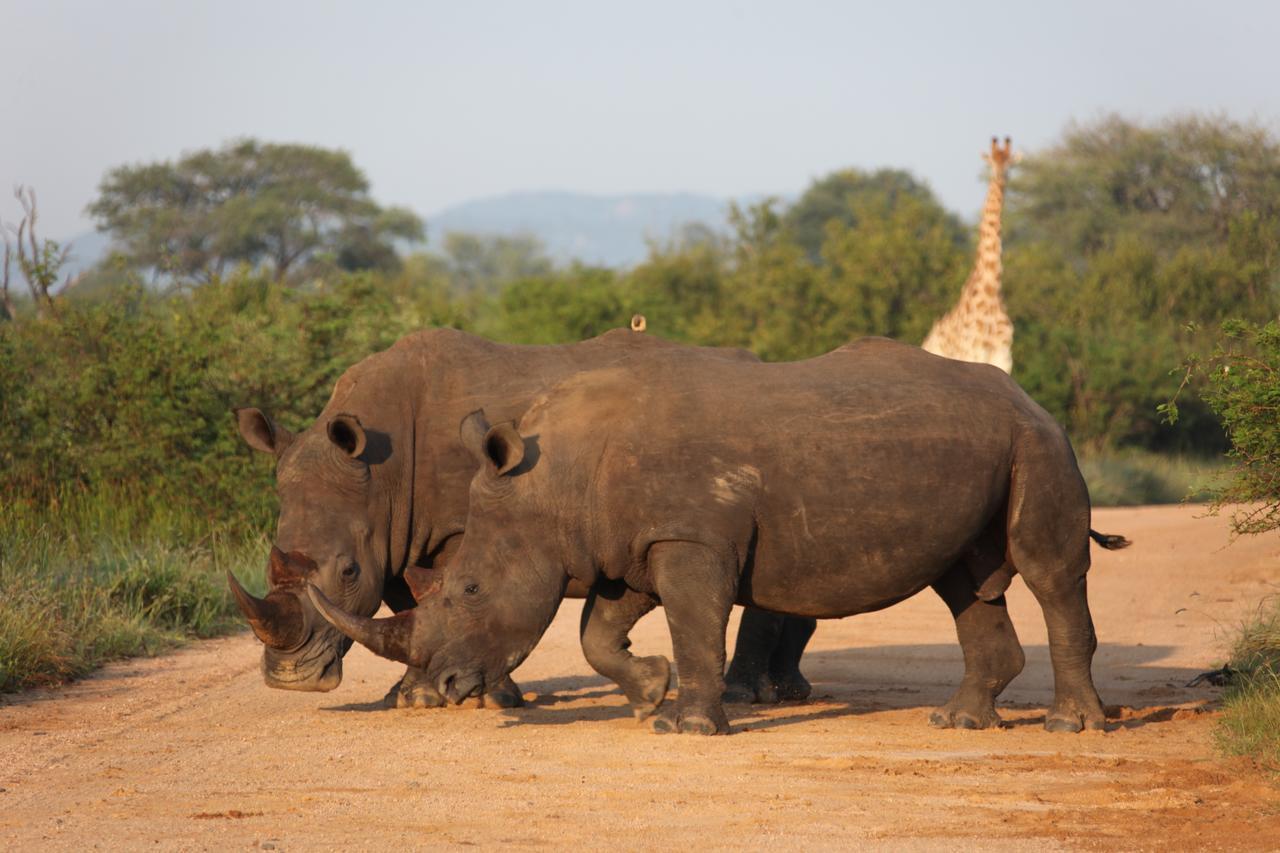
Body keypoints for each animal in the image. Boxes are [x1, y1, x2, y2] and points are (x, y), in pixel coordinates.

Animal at [926, 136, 1013, 371]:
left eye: (1010, 164)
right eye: (991, 162)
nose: (1000, 177)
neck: (992, 292)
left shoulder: (1004, 359)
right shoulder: (971, 354)